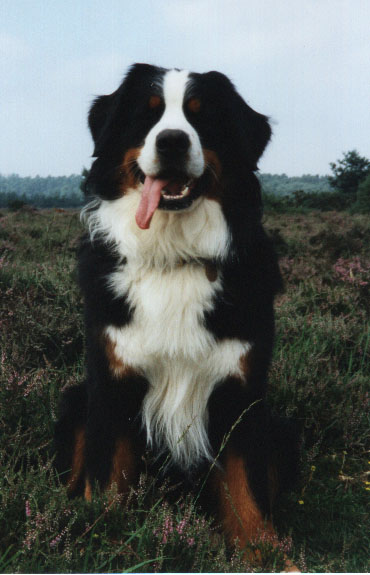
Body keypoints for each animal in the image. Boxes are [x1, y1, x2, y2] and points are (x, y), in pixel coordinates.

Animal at [54, 64, 298, 564]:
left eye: (200, 117)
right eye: (146, 116)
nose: (171, 142)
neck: (173, 254)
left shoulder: (241, 391)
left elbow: (247, 489)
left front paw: (267, 556)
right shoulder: (112, 383)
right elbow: (106, 480)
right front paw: (105, 541)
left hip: (280, 427)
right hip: (76, 399)